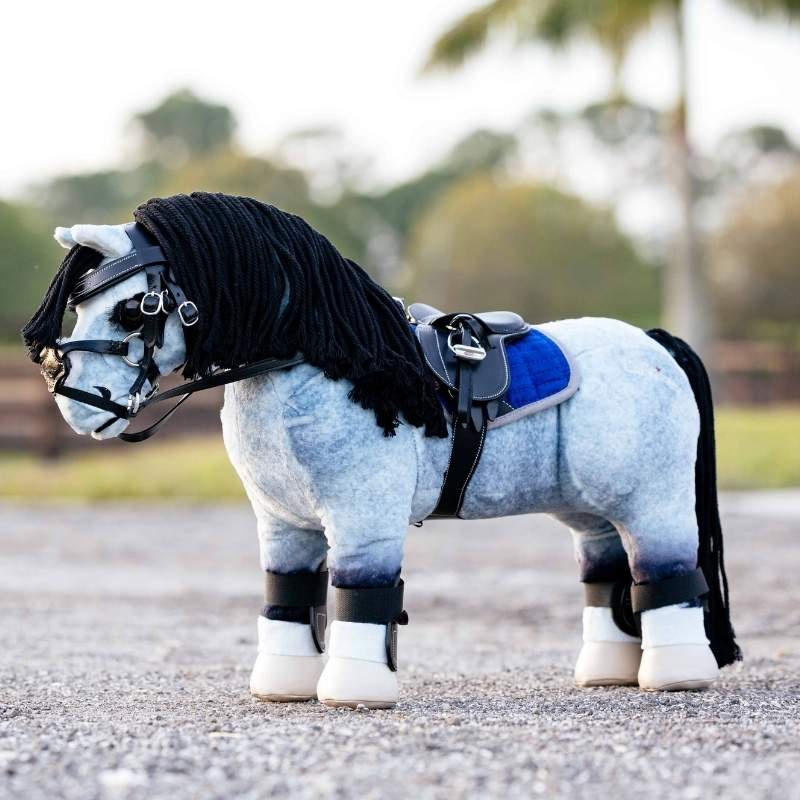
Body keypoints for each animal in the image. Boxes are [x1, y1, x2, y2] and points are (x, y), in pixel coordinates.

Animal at [23, 192, 739, 709]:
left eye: (133, 310)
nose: (74, 401)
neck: (322, 360)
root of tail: (653, 343)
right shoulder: (282, 523)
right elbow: (288, 593)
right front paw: (284, 686)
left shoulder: (363, 517)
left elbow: (358, 594)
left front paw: (353, 692)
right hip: (590, 509)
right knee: (607, 572)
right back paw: (608, 673)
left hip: (653, 500)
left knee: (665, 574)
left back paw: (675, 674)